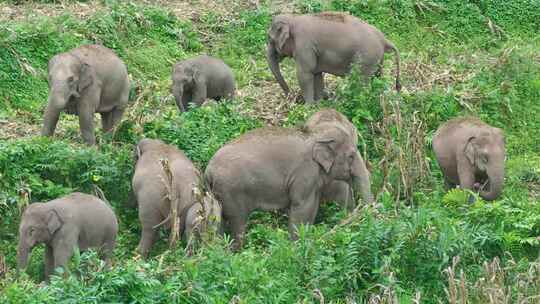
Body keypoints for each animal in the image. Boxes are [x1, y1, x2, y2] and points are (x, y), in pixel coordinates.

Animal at [266, 11, 400, 104]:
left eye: (269, 38)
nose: (293, 98)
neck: (293, 18)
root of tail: (384, 40)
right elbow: (317, 74)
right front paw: (319, 103)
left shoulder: (304, 45)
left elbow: (305, 74)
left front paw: (308, 107)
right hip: (377, 59)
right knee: (377, 78)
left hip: (366, 58)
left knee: (361, 82)